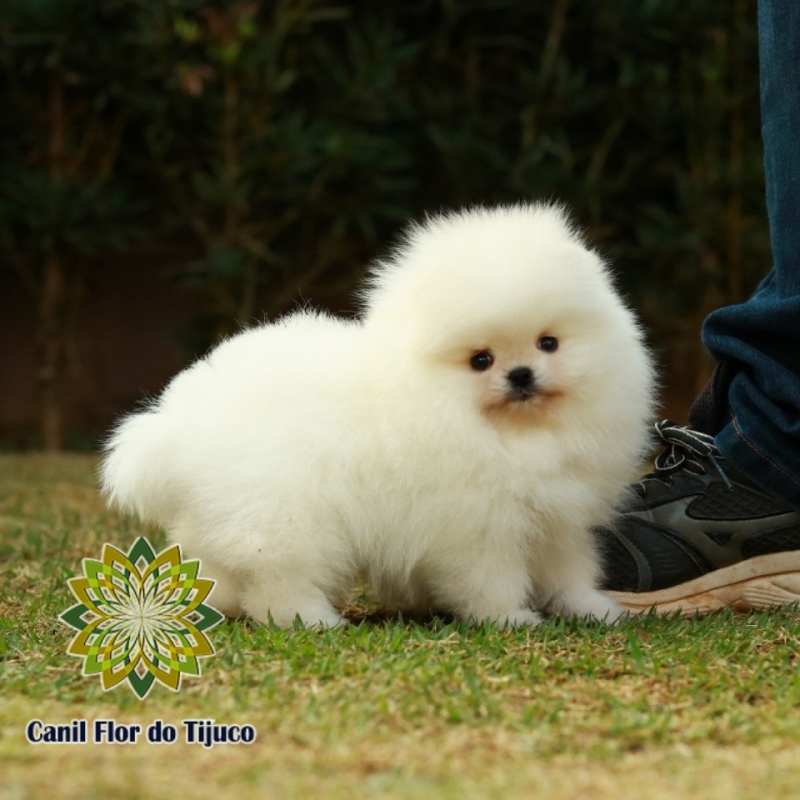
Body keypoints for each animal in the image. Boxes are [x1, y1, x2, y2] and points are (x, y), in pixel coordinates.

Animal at [101, 206, 648, 632]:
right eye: (480, 360)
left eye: (548, 342)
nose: (521, 375)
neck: (509, 433)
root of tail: (179, 423)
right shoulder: (476, 524)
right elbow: (490, 578)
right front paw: (508, 618)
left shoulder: (558, 518)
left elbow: (568, 572)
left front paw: (592, 610)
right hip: (286, 514)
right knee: (278, 576)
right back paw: (310, 620)